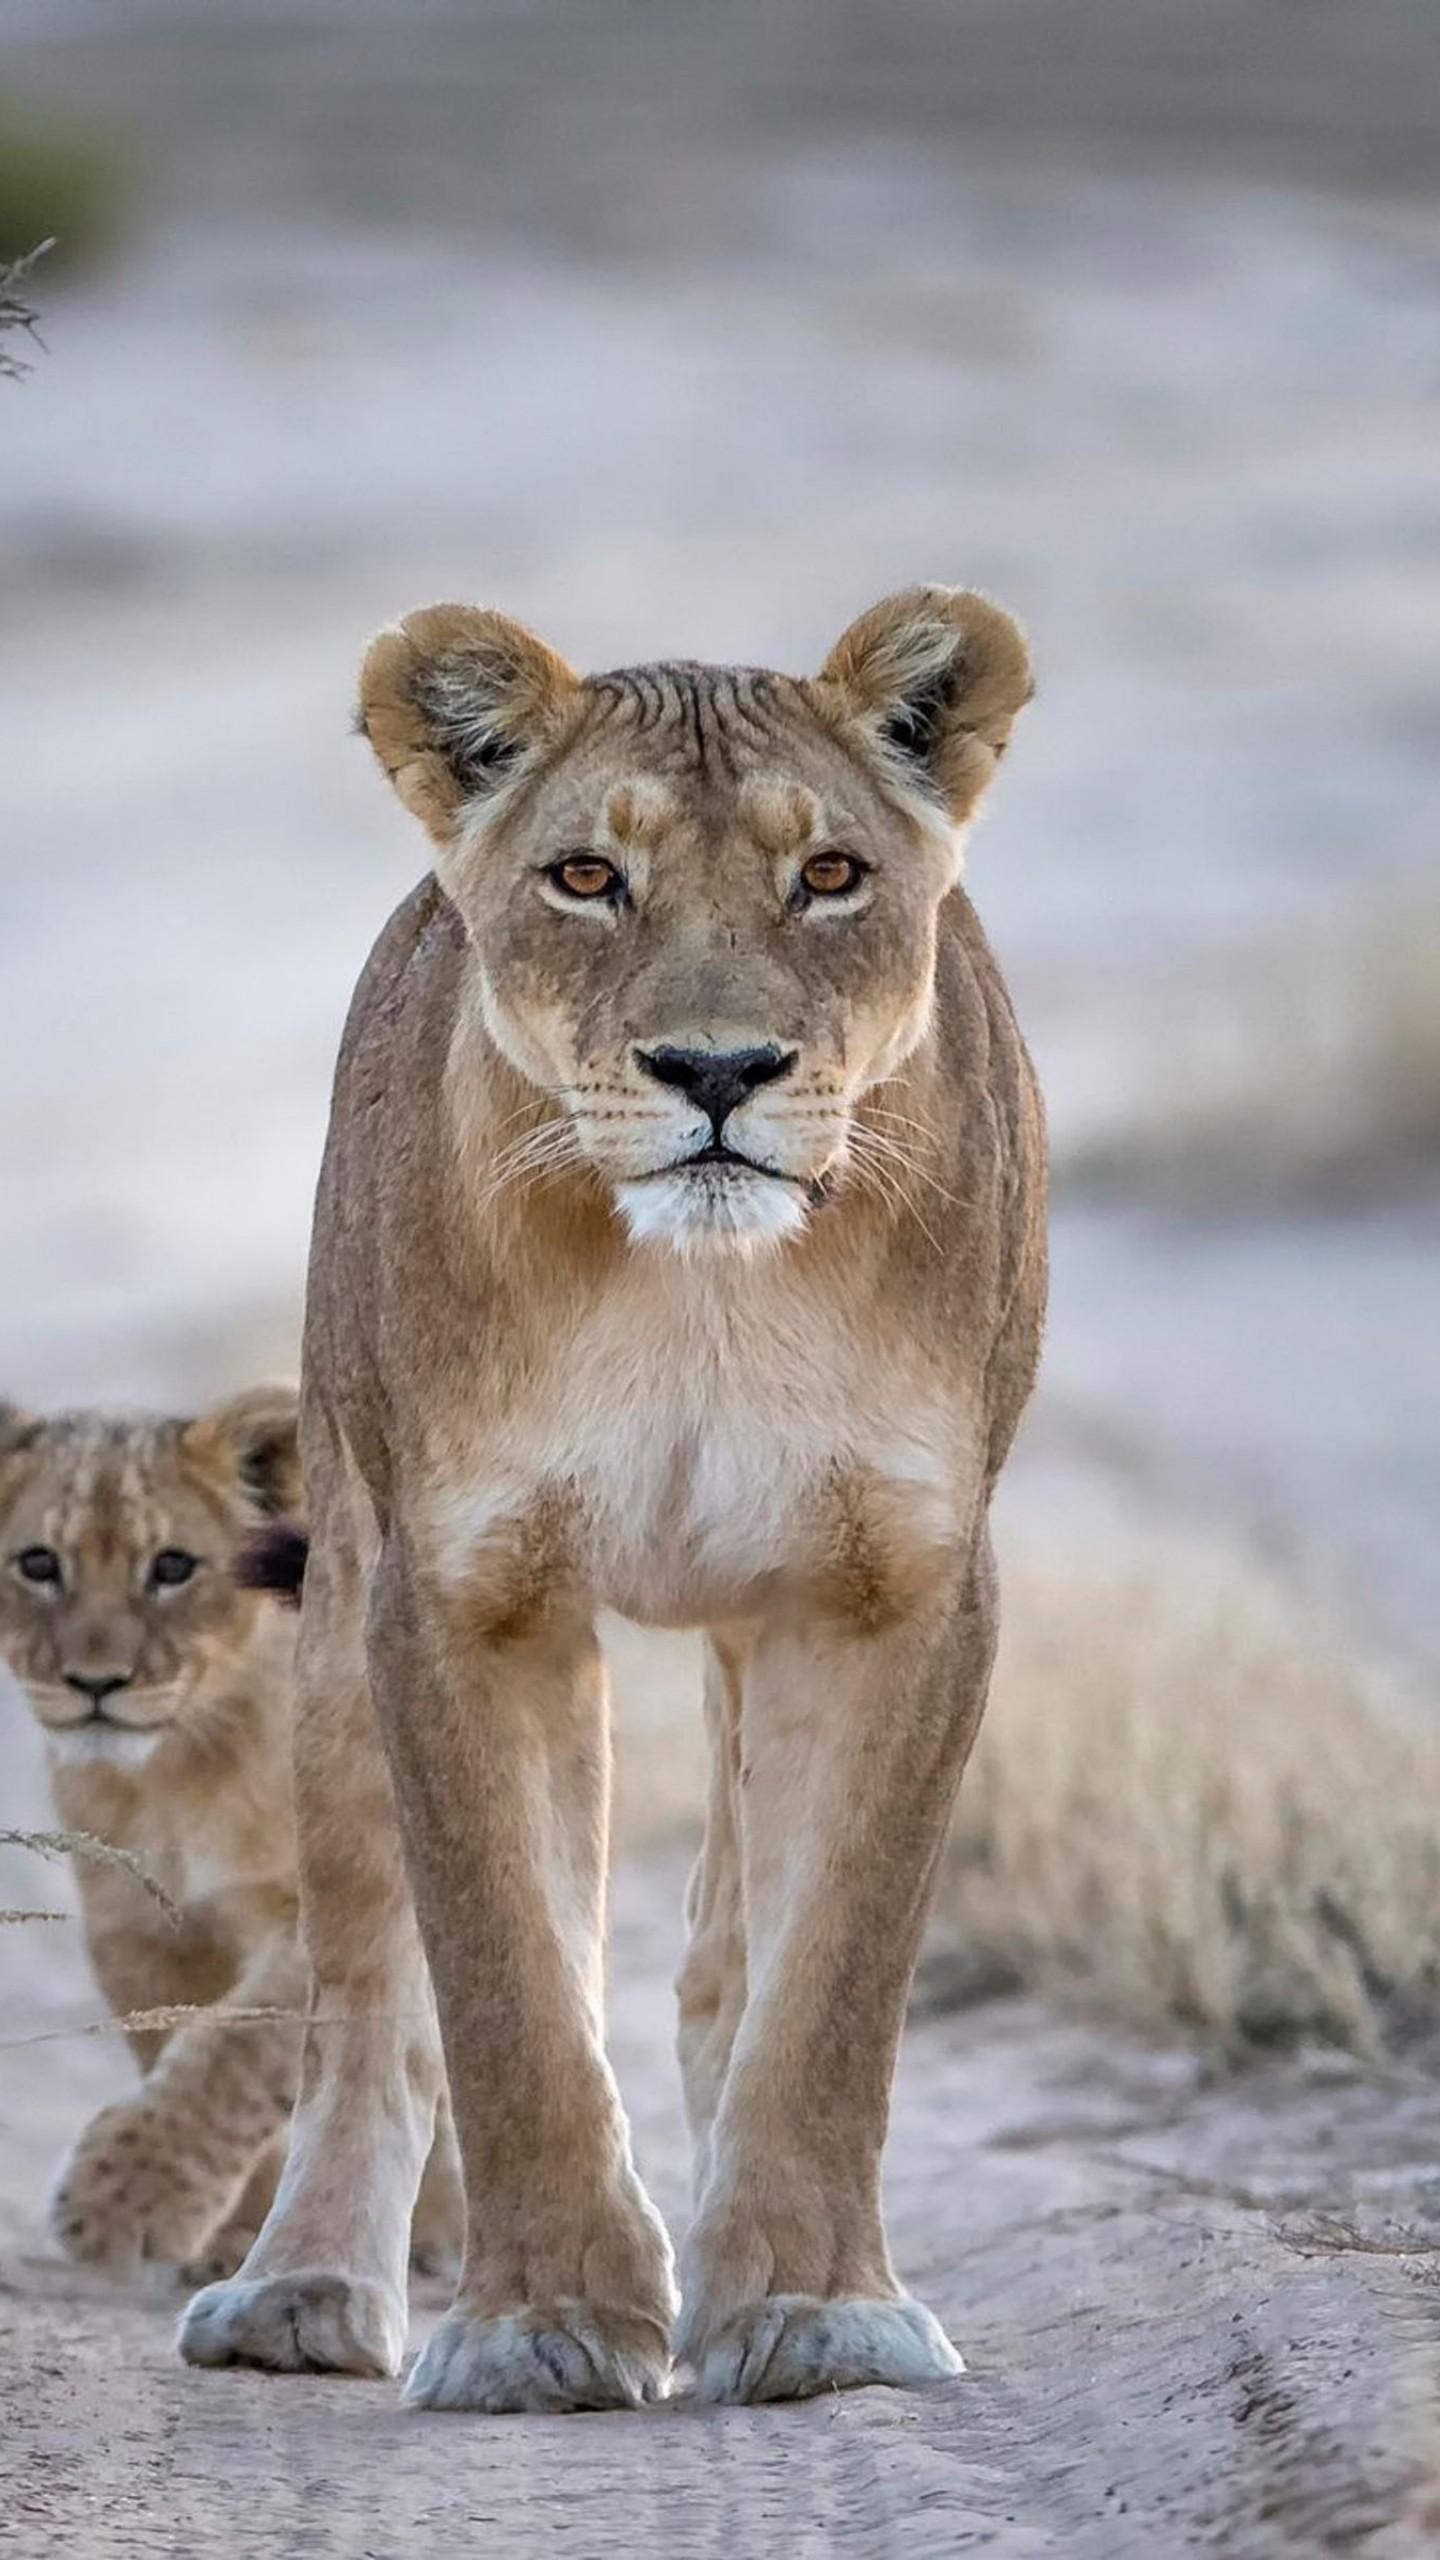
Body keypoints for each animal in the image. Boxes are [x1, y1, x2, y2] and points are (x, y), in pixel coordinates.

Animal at [0, 1391, 461, 2282]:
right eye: (38, 1564)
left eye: (173, 1567)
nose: (96, 1684)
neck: (177, 1771)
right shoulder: (140, 1931)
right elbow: (183, 2044)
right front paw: (230, 2235)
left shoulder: (319, 1900)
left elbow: (239, 2053)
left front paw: (124, 2199)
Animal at [178, 584, 1047, 2410]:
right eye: (587, 877)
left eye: (829, 874)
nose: (716, 1070)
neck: (700, 1295)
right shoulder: (456, 1593)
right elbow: (505, 1983)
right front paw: (543, 2325)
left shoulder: (899, 1587)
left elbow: (832, 1978)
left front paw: (813, 2309)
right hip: (339, 1605)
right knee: (369, 1997)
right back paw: (301, 2292)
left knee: (724, 1952)